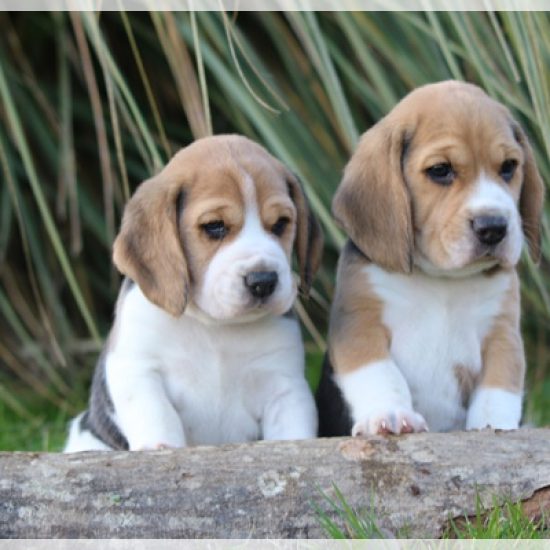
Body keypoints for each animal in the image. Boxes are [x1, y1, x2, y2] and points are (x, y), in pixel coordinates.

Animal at [64, 135, 324, 452]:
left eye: (280, 224)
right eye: (214, 226)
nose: (263, 281)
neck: (214, 327)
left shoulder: (285, 386)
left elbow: (292, 432)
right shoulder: (138, 370)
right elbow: (159, 416)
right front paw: (160, 448)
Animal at [320, 80, 548, 438]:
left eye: (509, 167)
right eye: (440, 170)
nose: (494, 227)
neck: (442, 281)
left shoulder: (502, 335)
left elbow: (498, 390)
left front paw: (494, 426)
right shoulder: (359, 325)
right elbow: (381, 374)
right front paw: (391, 413)